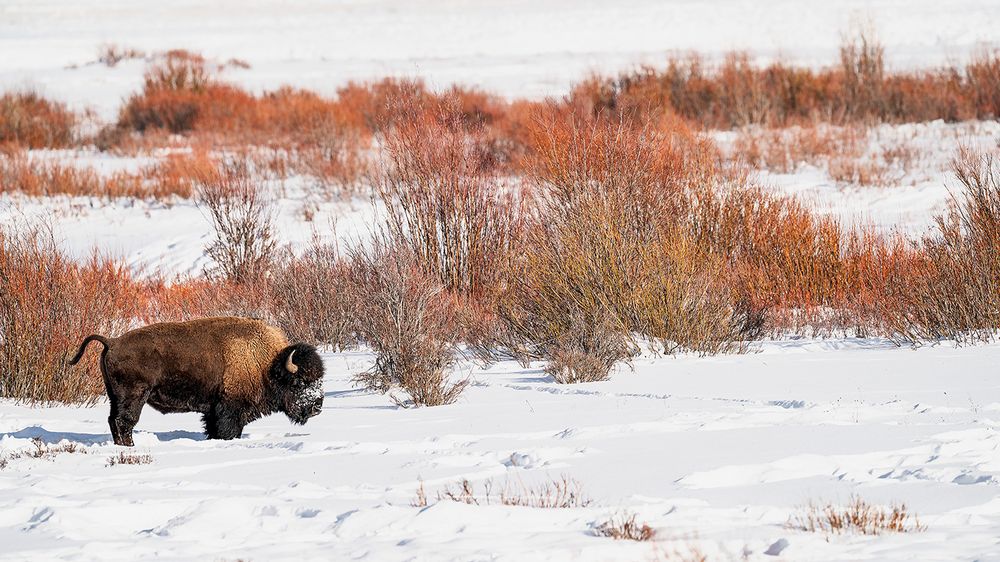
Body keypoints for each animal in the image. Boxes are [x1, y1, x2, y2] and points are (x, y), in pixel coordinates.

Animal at [70, 318, 324, 444]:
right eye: (299, 382)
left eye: (319, 379)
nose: (317, 406)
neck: (266, 363)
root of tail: (112, 342)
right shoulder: (230, 410)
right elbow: (227, 430)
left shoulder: (213, 411)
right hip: (133, 396)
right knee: (124, 422)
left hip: (115, 396)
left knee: (114, 421)